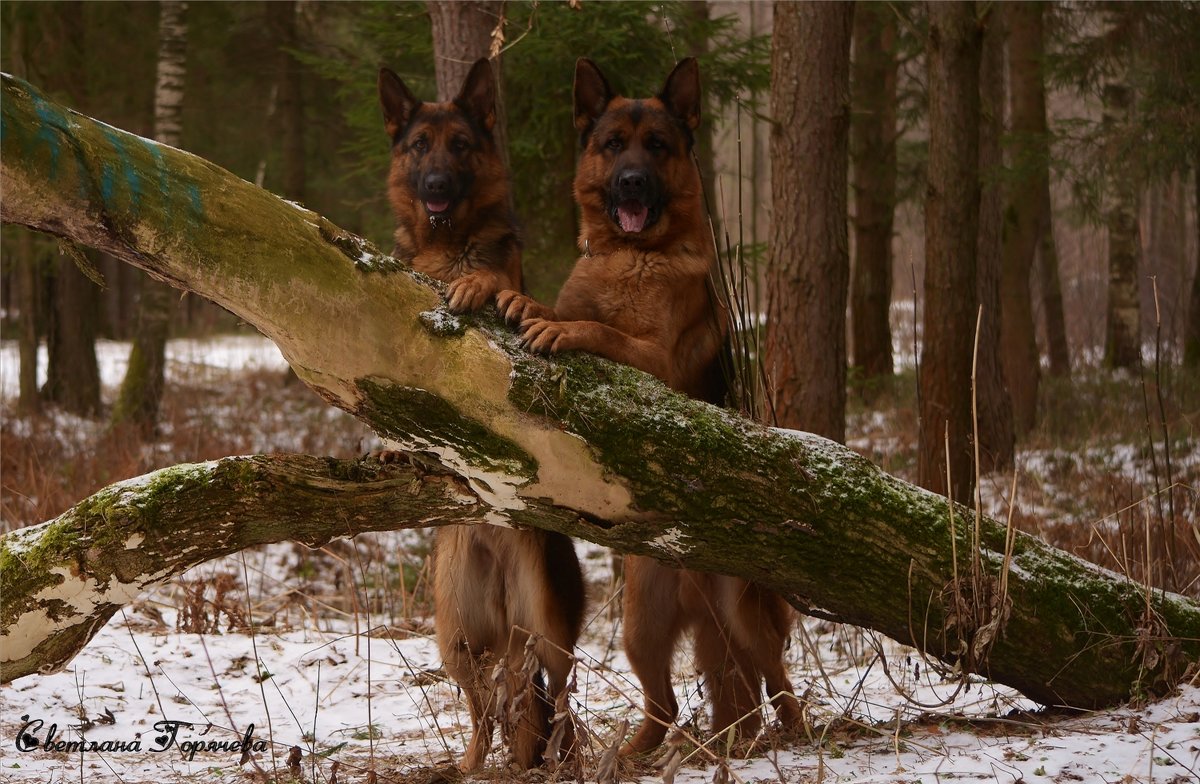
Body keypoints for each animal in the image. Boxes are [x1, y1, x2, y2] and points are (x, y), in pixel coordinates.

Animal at [374, 61, 580, 768]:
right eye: (419, 147)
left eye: (460, 146)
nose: (436, 185)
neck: (446, 244)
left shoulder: (513, 286)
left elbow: (496, 282)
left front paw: (475, 284)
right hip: (456, 636)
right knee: (485, 707)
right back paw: (469, 766)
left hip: (547, 630)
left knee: (556, 701)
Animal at [496, 58, 806, 753]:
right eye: (614, 145)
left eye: (657, 147)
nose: (633, 180)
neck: (628, 255)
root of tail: (696, 581)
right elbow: (550, 304)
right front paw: (497, 290)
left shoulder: (656, 360)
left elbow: (599, 330)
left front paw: (562, 331)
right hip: (641, 627)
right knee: (665, 702)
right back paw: (636, 752)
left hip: (745, 617)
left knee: (780, 683)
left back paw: (795, 736)